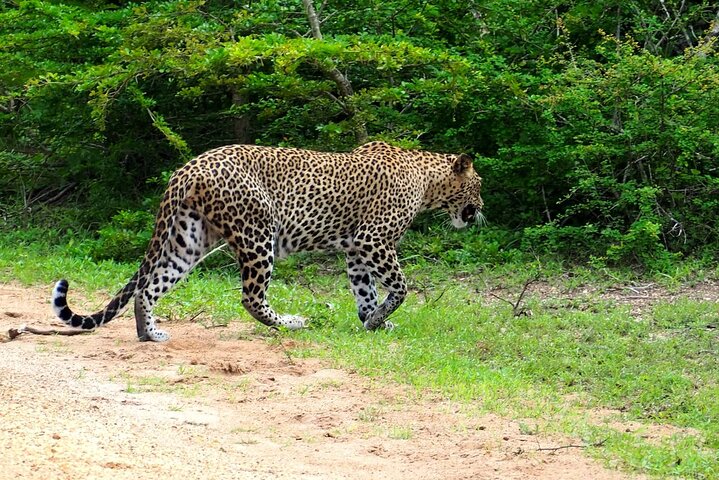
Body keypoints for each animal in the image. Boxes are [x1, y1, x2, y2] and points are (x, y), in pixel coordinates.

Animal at [51, 141, 483, 342]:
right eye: (478, 186)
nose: (481, 209)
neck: (428, 180)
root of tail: (187, 167)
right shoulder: (373, 240)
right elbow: (400, 287)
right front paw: (378, 319)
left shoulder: (356, 250)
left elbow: (365, 291)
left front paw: (371, 321)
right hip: (258, 232)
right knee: (251, 298)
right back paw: (291, 322)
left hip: (190, 239)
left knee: (150, 286)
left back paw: (149, 333)